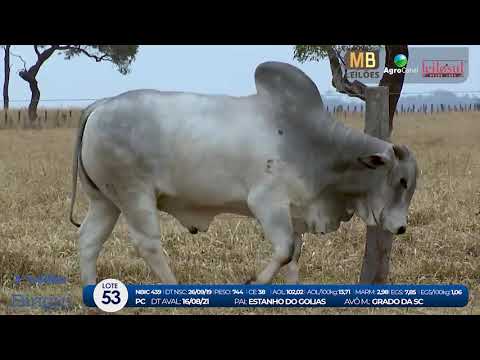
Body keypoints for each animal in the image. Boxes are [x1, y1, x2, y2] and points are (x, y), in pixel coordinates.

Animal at [69, 62, 418, 286]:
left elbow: (295, 256)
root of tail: (100, 105)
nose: (401, 227)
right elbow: (284, 251)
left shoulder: (296, 213)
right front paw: (254, 281)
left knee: (88, 239)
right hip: (135, 195)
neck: (314, 143)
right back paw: (173, 288)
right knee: (148, 244)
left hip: (106, 201)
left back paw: (91, 292)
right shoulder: (267, 203)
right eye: (401, 181)